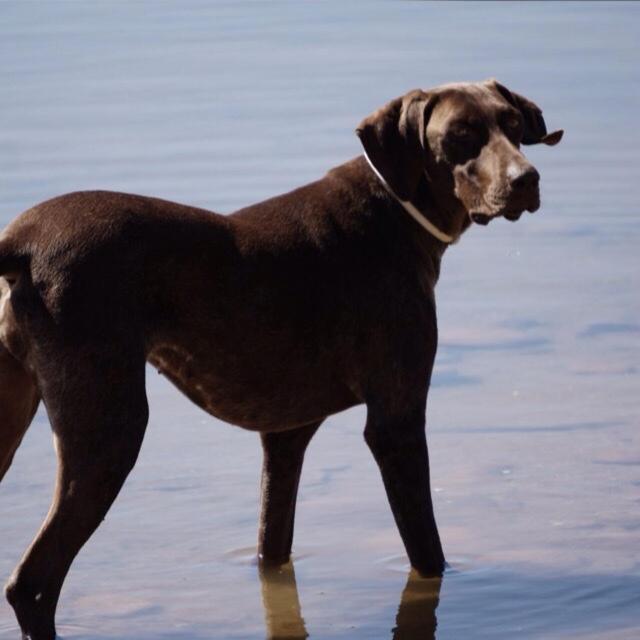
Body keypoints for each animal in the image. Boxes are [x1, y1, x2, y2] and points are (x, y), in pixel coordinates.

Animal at [0, 81, 560, 640]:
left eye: (512, 124)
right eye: (460, 134)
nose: (526, 180)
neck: (395, 211)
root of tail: (18, 242)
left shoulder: (286, 436)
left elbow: (273, 545)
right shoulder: (395, 424)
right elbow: (428, 552)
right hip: (109, 433)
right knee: (32, 581)